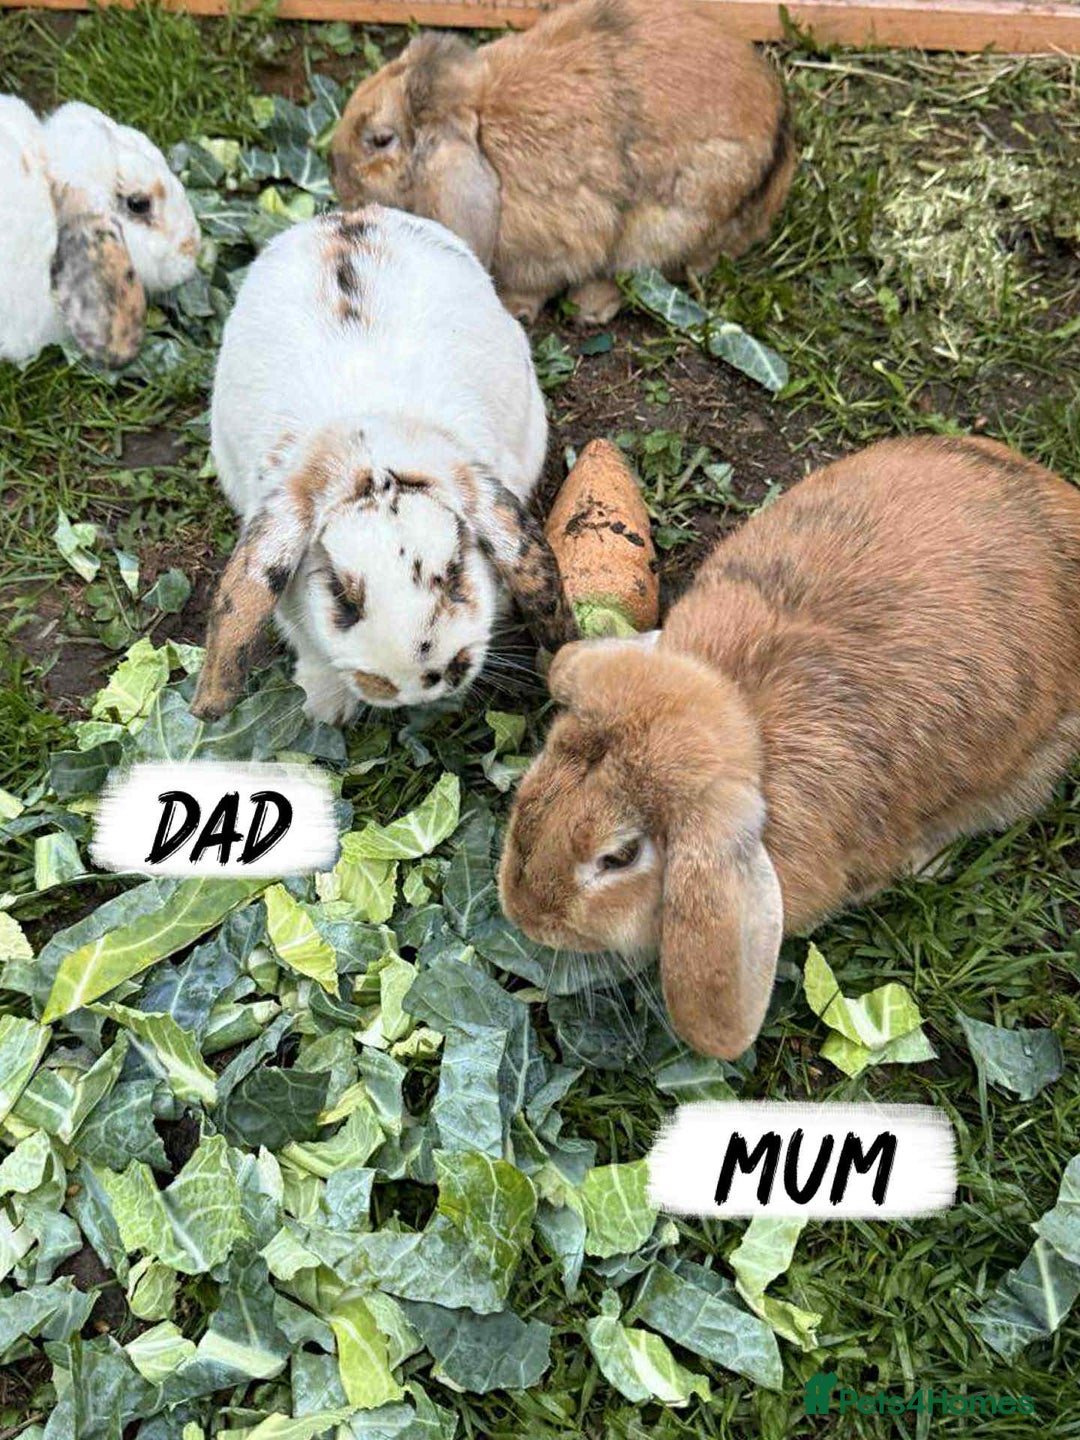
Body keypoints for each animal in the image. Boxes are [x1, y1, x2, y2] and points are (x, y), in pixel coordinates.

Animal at [191, 204, 577, 726]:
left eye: (453, 572)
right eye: (342, 596)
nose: (416, 683)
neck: (369, 447)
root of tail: (348, 217)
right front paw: (323, 708)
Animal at [329, 0, 794, 325]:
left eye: (380, 140)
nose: (338, 180)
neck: (477, 129)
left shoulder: (553, 244)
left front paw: (515, 309)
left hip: (672, 218)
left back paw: (589, 307)